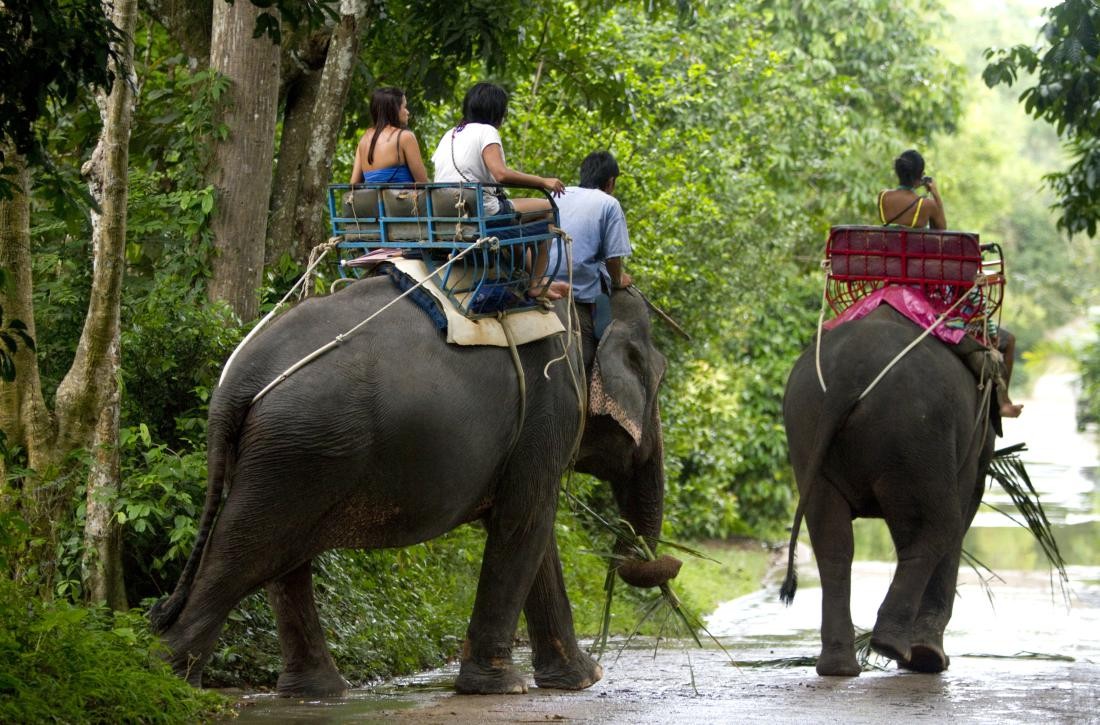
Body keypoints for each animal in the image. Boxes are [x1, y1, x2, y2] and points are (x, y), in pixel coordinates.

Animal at [148, 274, 676, 697]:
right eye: (658, 380)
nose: (666, 563)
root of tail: (238, 378)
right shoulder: (551, 403)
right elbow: (526, 521)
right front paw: (505, 687)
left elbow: (528, 531)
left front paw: (582, 680)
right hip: (300, 449)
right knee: (244, 554)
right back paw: (169, 687)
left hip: (287, 455)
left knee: (280, 561)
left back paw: (317, 692)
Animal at [779, 305, 997, 676]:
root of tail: (847, 375)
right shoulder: (971, 443)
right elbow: (963, 509)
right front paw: (930, 658)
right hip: (915, 434)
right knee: (941, 525)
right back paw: (907, 652)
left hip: (806, 427)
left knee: (832, 542)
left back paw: (840, 666)